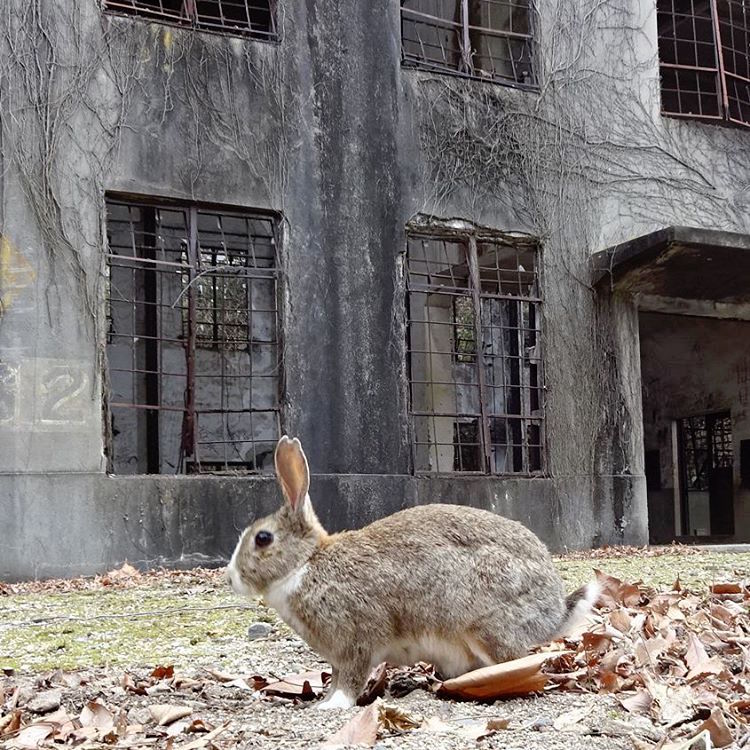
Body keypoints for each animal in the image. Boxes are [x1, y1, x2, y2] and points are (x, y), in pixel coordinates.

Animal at [226, 434, 604, 712]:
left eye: (263, 538)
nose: (231, 578)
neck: (306, 563)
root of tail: (553, 610)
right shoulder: (337, 655)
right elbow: (336, 678)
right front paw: (324, 700)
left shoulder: (357, 640)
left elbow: (351, 680)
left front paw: (332, 707)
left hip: (486, 624)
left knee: (513, 661)